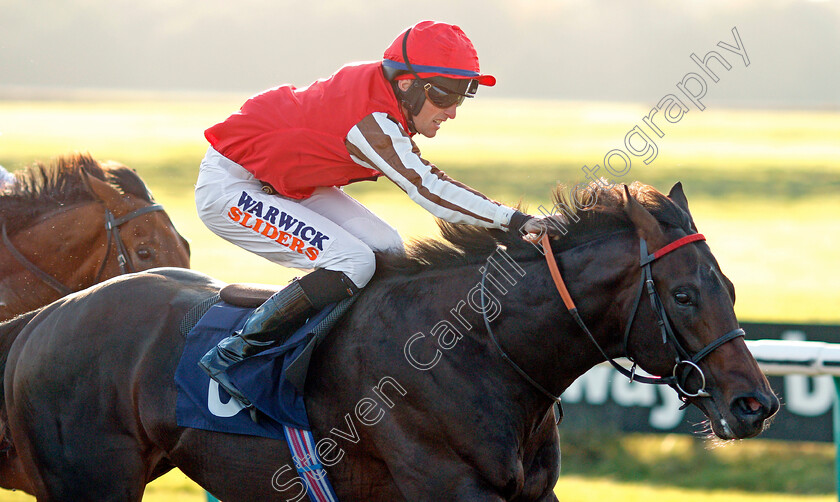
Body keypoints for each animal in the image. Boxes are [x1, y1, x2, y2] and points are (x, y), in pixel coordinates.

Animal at [0, 182, 780, 500]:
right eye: (683, 295)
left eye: (729, 286)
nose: (756, 404)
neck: (479, 353)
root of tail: (47, 316)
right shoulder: (448, 487)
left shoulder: (532, 494)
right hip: (91, 481)